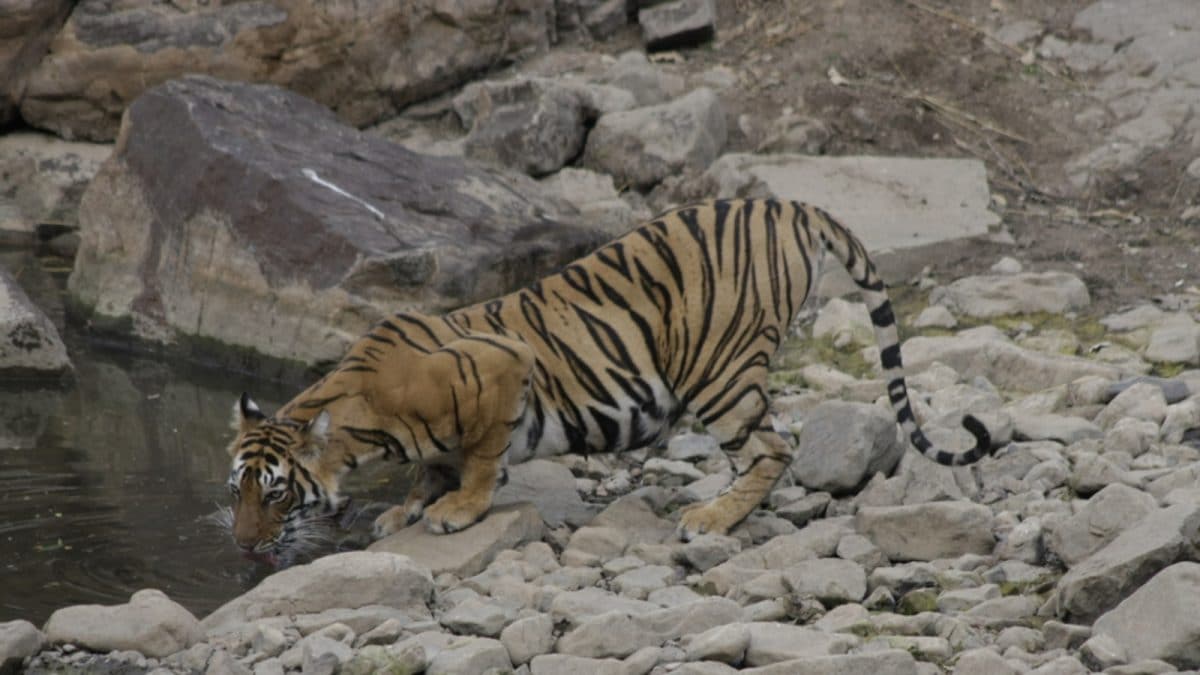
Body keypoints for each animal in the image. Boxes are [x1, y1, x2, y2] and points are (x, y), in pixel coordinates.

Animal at [224, 198, 991, 566]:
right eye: (235, 492)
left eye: (276, 492)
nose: (242, 545)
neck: (361, 424)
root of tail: (788, 205)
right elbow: (431, 466)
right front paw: (405, 509)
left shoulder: (504, 369)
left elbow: (480, 457)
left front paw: (456, 509)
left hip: (716, 367)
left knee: (772, 449)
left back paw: (711, 517)